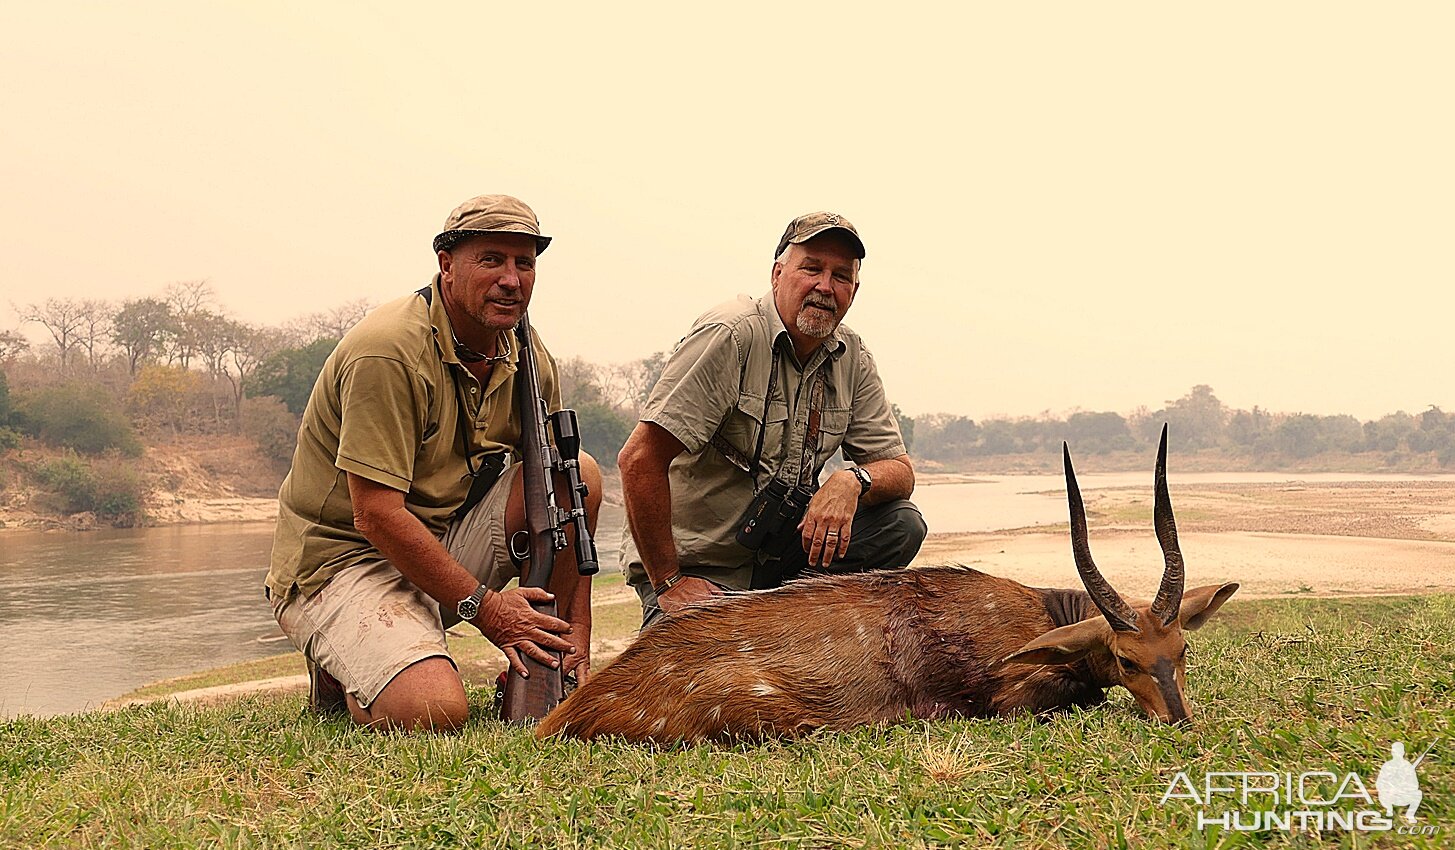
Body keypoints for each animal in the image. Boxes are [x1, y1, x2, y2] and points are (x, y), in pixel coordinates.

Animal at [541, 427, 1233, 739]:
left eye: (1182, 651)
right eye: (1126, 657)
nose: (1182, 721)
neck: (1043, 614)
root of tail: (568, 713)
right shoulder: (1005, 698)